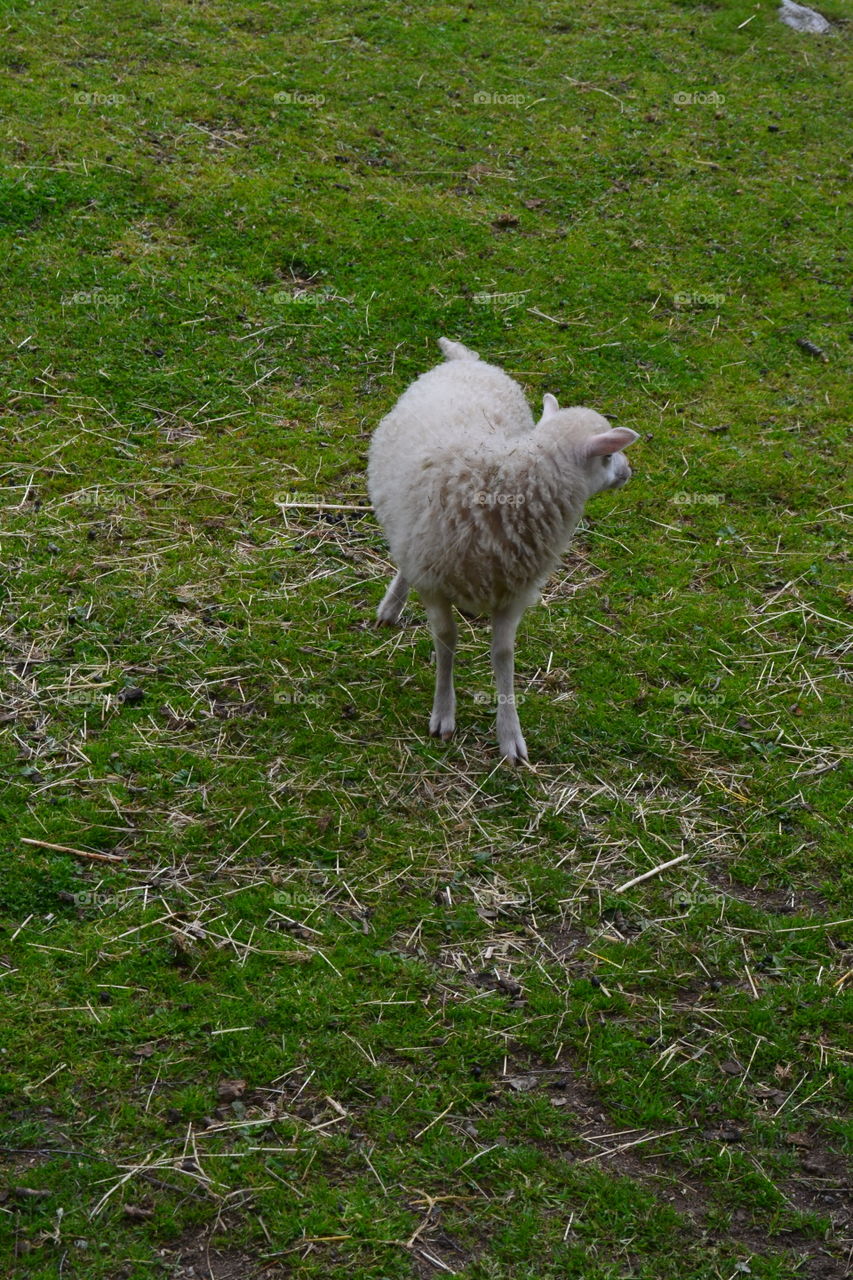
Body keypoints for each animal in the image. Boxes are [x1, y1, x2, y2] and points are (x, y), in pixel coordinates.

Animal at [367, 337, 639, 763]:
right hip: (414, 537)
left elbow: (503, 654)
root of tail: (466, 360)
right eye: (608, 456)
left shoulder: (514, 589)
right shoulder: (436, 581)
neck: (510, 479)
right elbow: (446, 641)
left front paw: (510, 733)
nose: (628, 471)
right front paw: (444, 711)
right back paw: (392, 605)